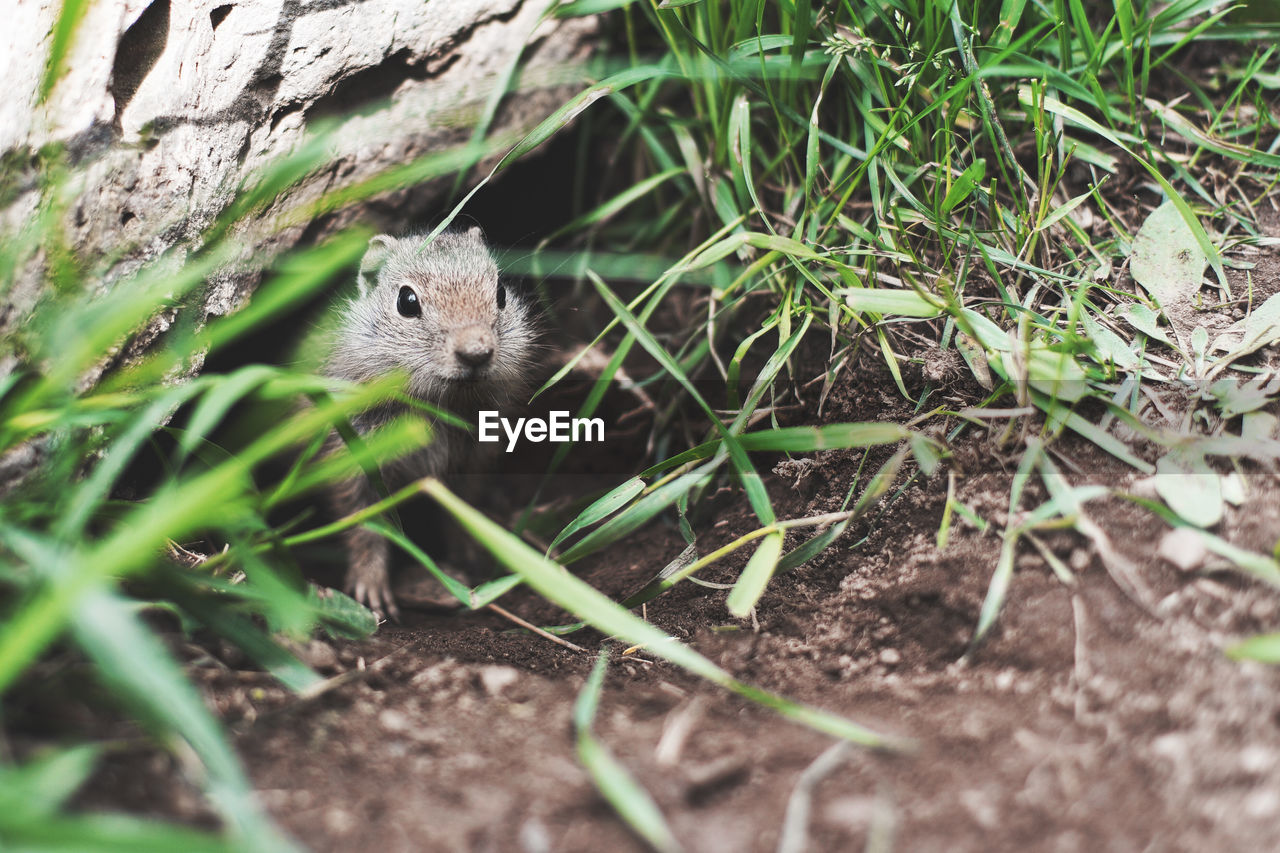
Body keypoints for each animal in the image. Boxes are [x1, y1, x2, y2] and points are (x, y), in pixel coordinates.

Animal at [327, 229, 537, 617]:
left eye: (501, 292)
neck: (437, 406)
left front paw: (470, 555)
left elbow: (460, 508)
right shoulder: (352, 457)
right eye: (407, 301)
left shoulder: (471, 461)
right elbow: (365, 521)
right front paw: (371, 592)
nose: (476, 352)